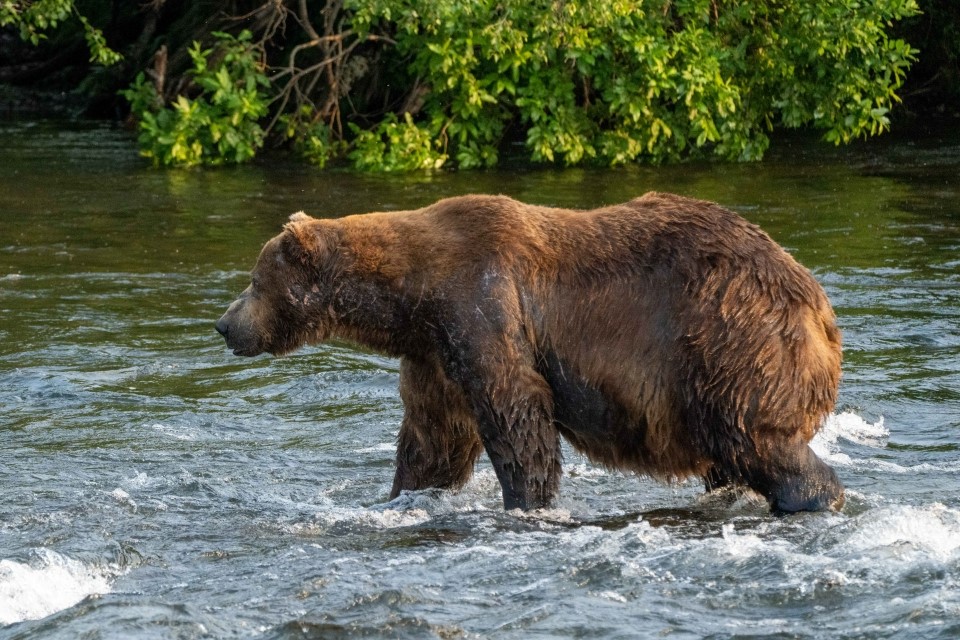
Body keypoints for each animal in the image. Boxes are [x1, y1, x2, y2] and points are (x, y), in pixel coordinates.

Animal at [215, 193, 844, 514]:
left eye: (254, 280)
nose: (224, 324)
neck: (412, 293)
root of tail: (822, 312)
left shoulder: (484, 305)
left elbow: (517, 413)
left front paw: (526, 501)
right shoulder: (435, 353)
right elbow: (434, 438)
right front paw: (402, 493)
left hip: (730, 341)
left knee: (757, 441)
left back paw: (814, 497)